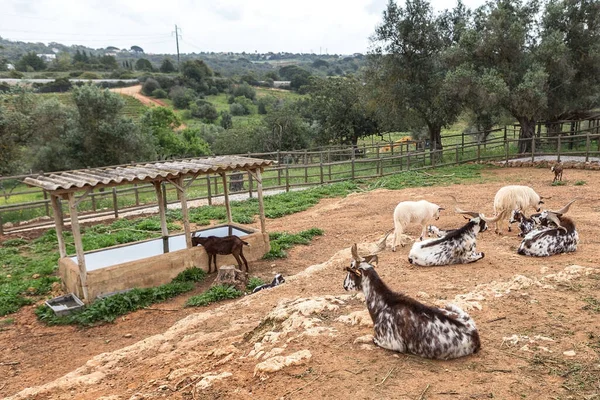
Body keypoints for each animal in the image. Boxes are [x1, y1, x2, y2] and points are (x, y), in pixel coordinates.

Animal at [344, 244, 480, 360]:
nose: (344, 285)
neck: (384, 303)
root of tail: (475, 337)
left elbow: (374, 340)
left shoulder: (392, 343)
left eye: (350, 269)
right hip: (451, 306)